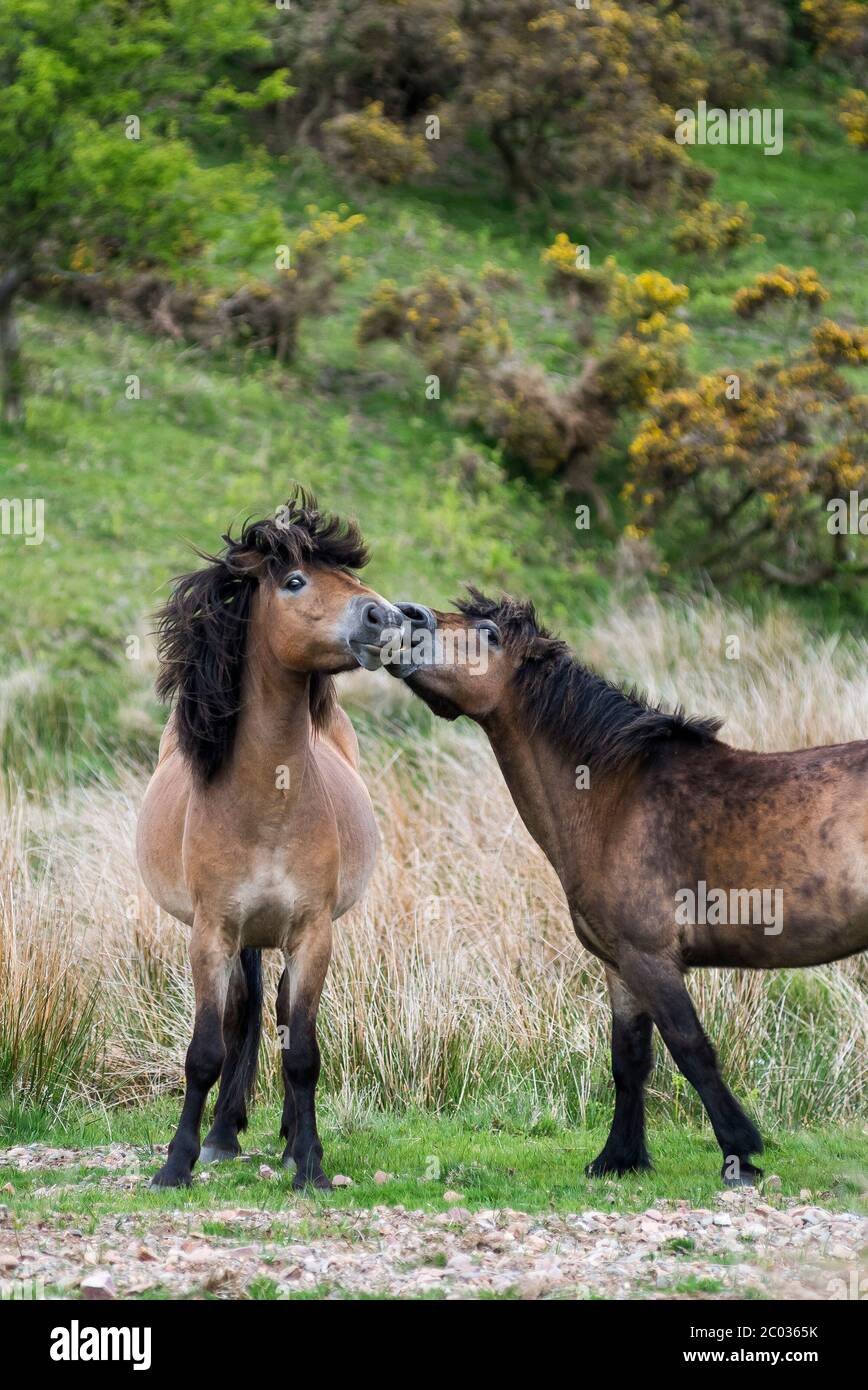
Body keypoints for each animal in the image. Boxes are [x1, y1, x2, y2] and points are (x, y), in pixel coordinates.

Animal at [137, 494, 403, 1189]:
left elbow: (302, 1051)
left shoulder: (312, 933)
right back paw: (222, 1136)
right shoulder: (212, 932)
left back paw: (280, 1139)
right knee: (243, 1013)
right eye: (295, 581)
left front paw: (308, 1162)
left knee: (278, 1014)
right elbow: (206, 1049)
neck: (266, 803)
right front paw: (178, 1162)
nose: (387, 617)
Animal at [390, 590, 868, 1184]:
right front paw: (618, 1158)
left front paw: (740, 1153)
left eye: (489, 634)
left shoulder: (650, 958)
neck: (613, 798)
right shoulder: (620, 965)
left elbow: (691, 1050)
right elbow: (629, 1061)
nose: (406, 616)